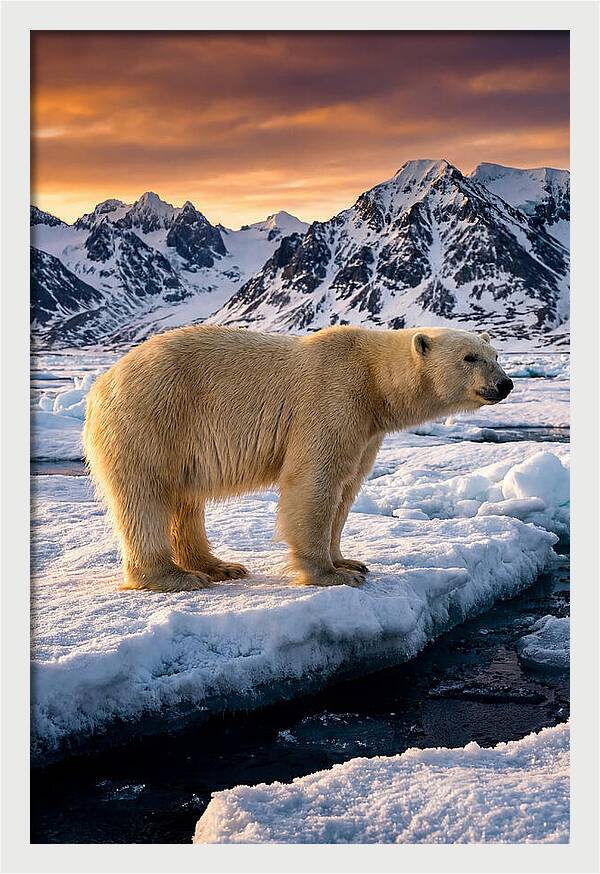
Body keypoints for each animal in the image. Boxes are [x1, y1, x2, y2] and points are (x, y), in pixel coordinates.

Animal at [83, 324, 513, 592]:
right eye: (470, 357)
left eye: (495, 354)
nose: (505, 383)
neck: (373, 380)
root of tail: (102, 383)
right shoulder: (333, 397)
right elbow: (314, 481)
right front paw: (330, 575)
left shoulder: (366, 429)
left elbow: (347, 487)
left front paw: (349, 562)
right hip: (153, 416)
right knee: (146, 494)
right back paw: (174, 576)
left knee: (186, 500)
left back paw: (219, 566)